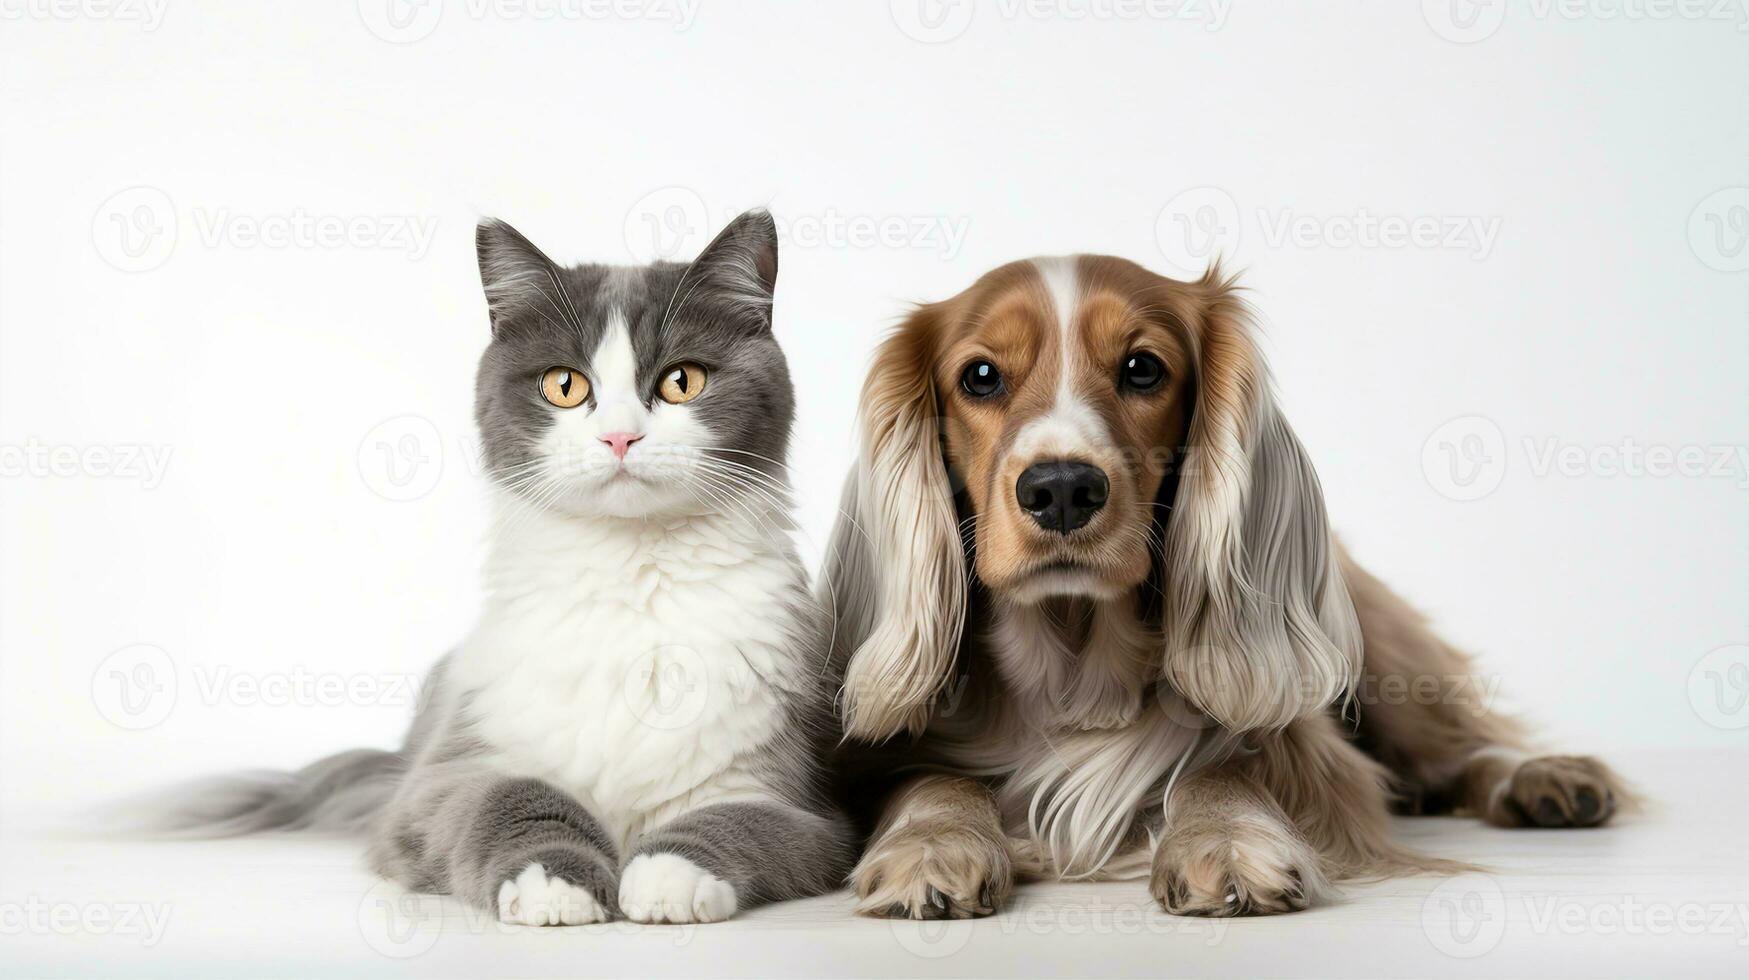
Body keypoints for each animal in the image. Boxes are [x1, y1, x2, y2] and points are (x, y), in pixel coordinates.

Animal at [157, 210, 853, 924]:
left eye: (681, 381)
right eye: (565, 386)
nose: (620, 438)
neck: (631, 579)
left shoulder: (792, 800)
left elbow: (730, 821)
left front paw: (665, 876)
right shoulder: (447, 778)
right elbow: (513, 798)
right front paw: (557, 883)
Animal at [825, 253, 1630, 917]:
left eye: (1143, 368)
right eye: (981, 377)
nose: (1061, 489)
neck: (1076, 667)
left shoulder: (1314, 760)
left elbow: (1230, 768)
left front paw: (1224, 838)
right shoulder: (885, 757)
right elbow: (933, 780)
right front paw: (931, 845)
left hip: (1385, 660)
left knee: (1458, 748)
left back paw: (1542, 779)